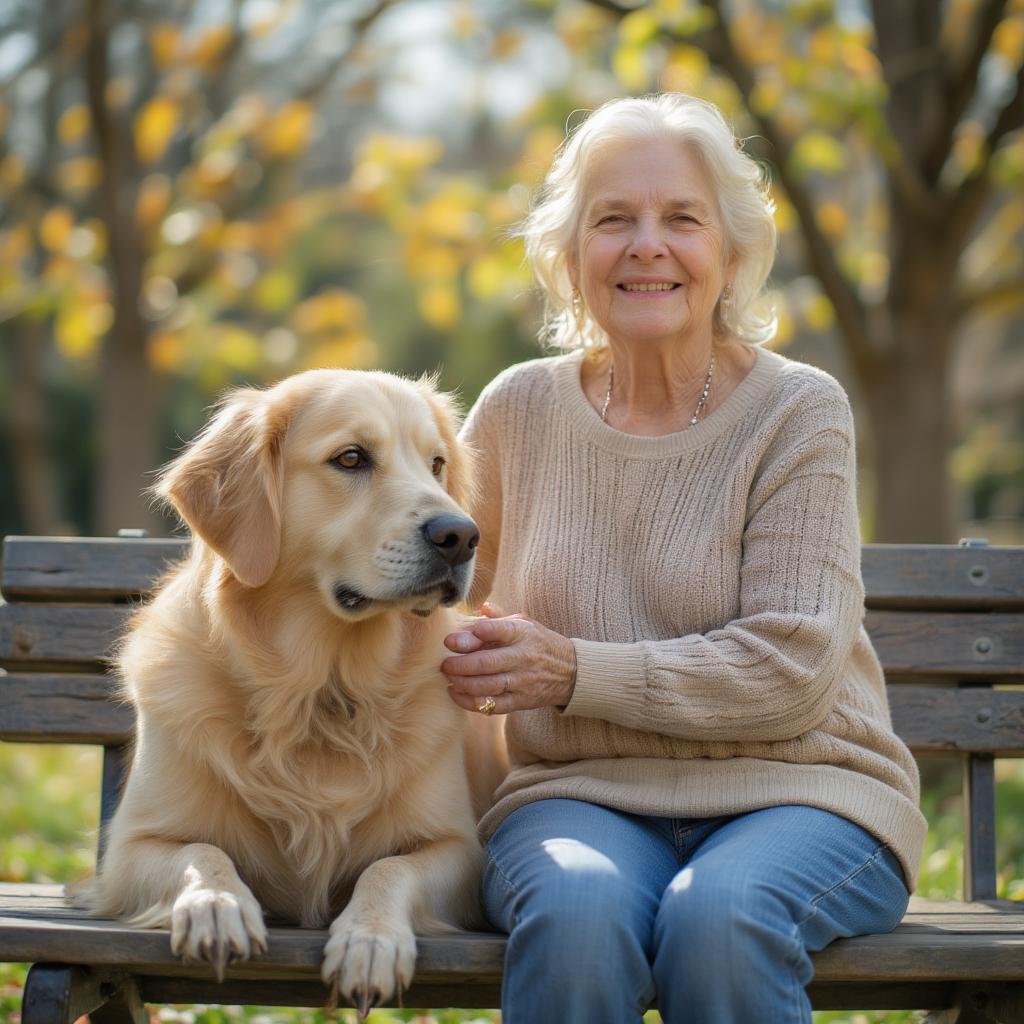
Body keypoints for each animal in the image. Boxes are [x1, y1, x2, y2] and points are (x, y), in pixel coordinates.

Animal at [88, 368, 503, 1015]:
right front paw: (216, 904)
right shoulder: (128, 854)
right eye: (351, 458)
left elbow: (389, 868)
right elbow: (200, 853)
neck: (322, 690)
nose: (461, 535)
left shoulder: (460, 852)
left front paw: (370, 939)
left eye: (436, 463)